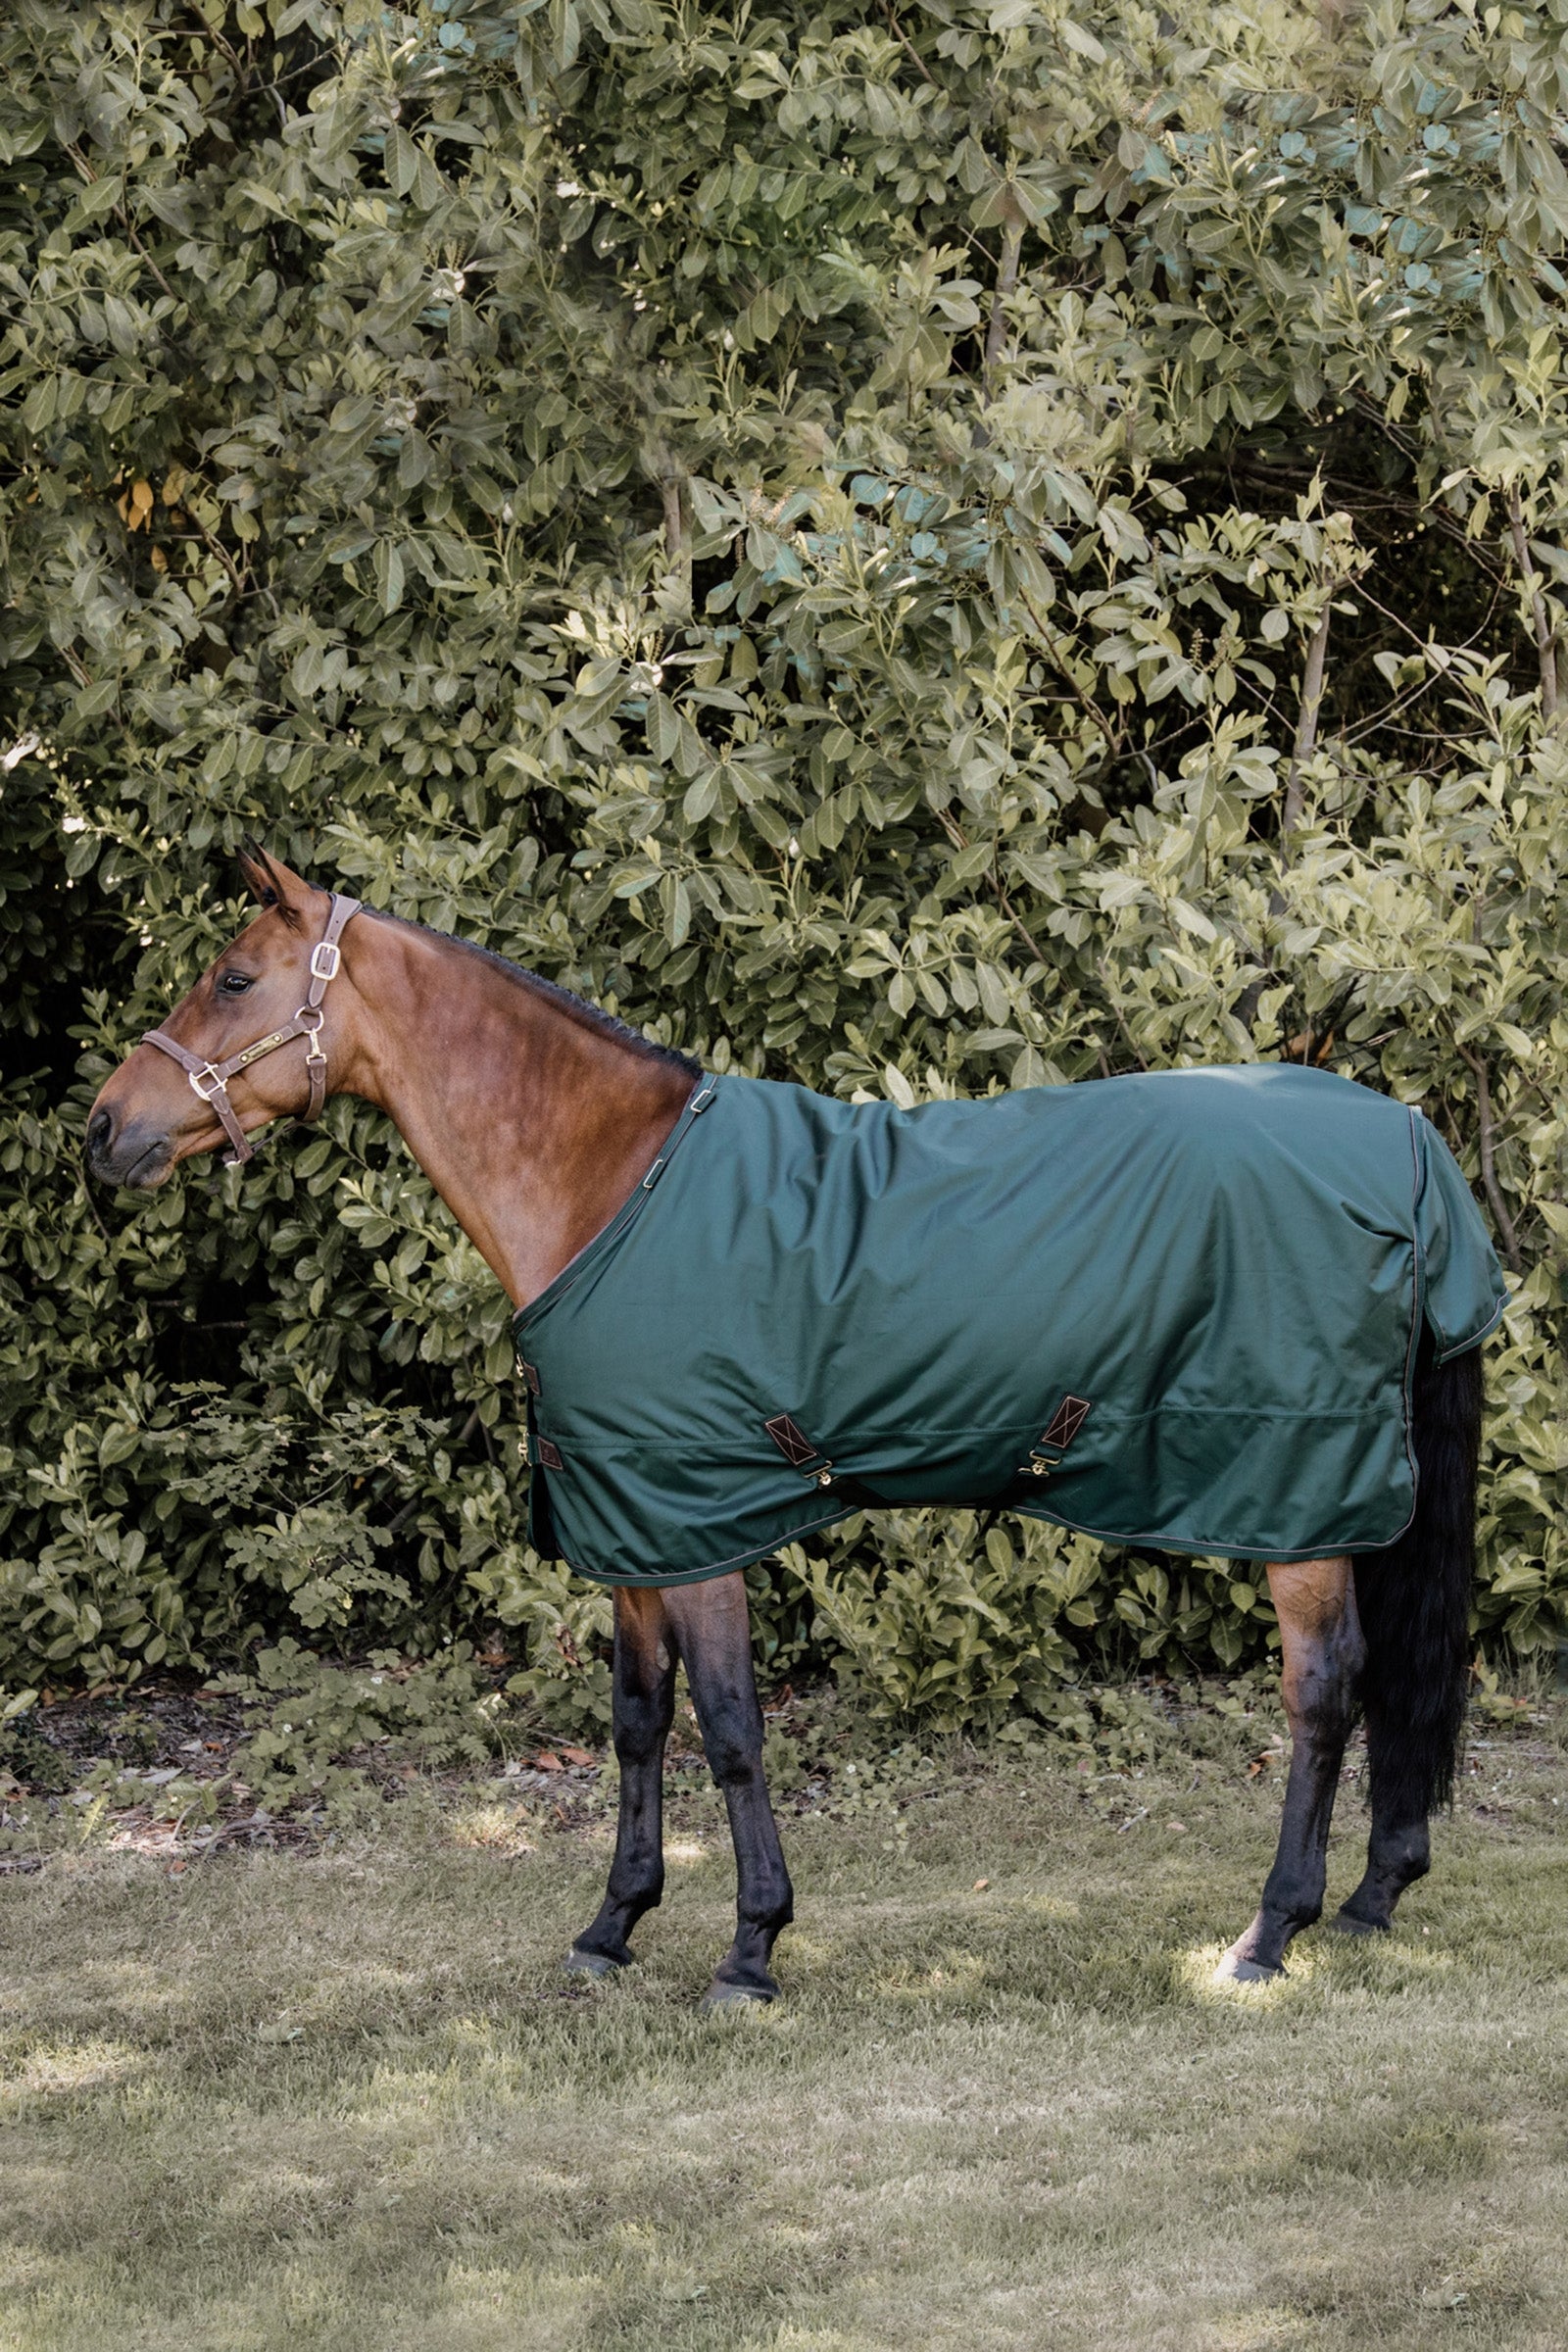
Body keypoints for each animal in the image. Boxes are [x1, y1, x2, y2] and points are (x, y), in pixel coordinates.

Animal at [86, 849, 1498, 2006]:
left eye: (233, 977)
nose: (105, 1130)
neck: (612, 1185)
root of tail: (1403, 1140)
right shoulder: (632, 1528)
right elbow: (639, 1724)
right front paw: (612, 1928)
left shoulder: (697, 1522)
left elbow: (730, 1729)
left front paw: (751, 1949)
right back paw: (1371, 1897)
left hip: (1297, 1499)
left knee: (1325, 1690)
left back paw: (1270, 1932)